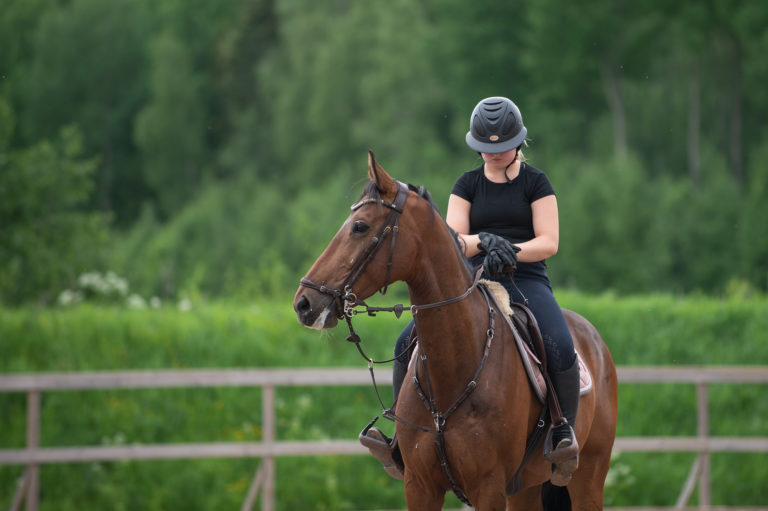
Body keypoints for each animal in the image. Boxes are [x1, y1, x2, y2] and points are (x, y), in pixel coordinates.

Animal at [294, 153, 616, 511]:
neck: (456, 370)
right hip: (525, 488)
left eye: (360, 226)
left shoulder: (488, 488)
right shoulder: (419, 486)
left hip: (589, 477)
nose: (304, 302)